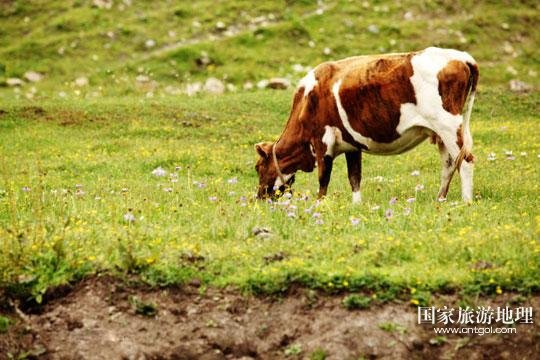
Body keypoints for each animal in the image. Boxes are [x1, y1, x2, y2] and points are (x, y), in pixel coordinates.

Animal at [255, 46, 478, 202]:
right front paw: (356, 205)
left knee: (465, 160)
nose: (259, 198)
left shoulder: (322, 140)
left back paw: (465, 201)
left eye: (257, 168)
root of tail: (460, 56)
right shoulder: (351, 145)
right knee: (449, 164)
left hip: (448, 125)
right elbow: (354, 178)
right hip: (441, 133)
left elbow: (323, 178)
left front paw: (319, 205)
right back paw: (440, 199)